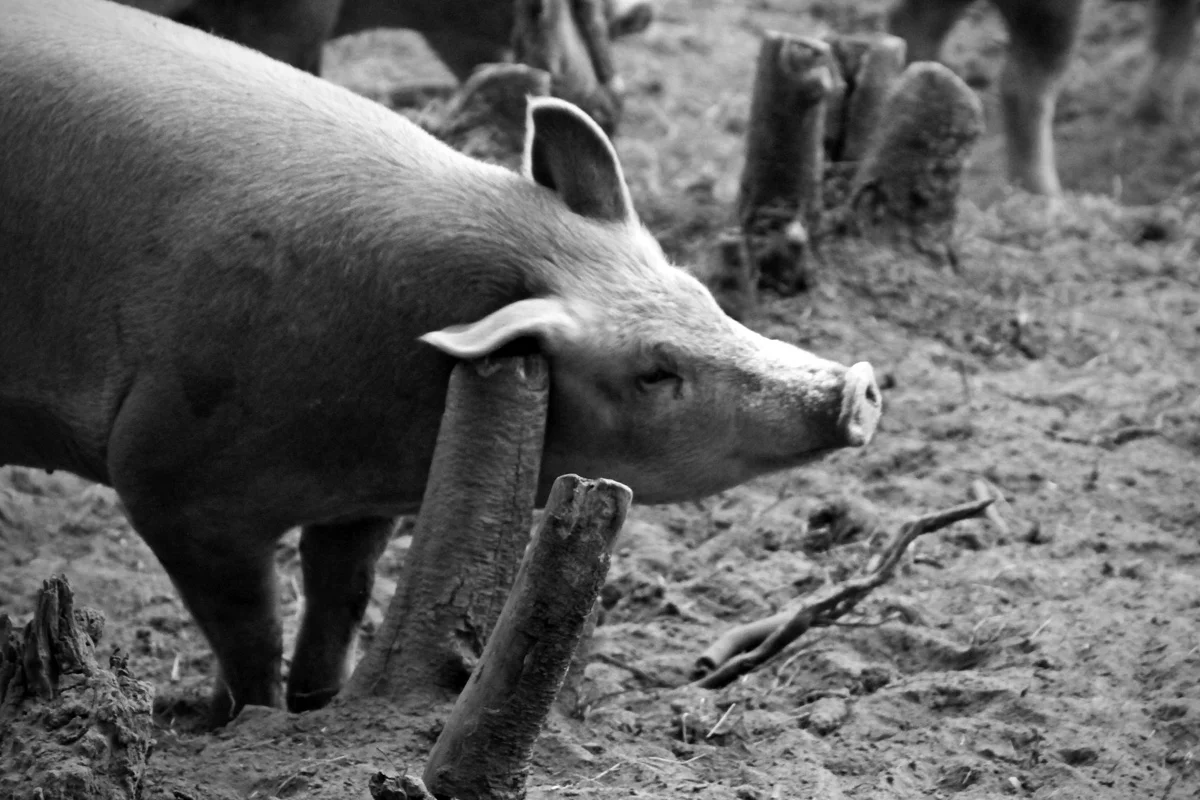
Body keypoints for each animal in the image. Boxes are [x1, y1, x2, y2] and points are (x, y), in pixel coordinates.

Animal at [0, 0, 883, 724]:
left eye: (704, 295)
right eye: (655, 370)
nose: (858, 384)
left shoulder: (364, 498)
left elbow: (341, 589)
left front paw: (316, 705)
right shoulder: (168, 477)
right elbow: (249, 626)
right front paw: (238, 722)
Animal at [888, 0, 1195, 194]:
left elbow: (1173, 32)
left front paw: (1154, 116)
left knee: (910, 22)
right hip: (1051, 13)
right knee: (1019, 86)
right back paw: (1050, 201)